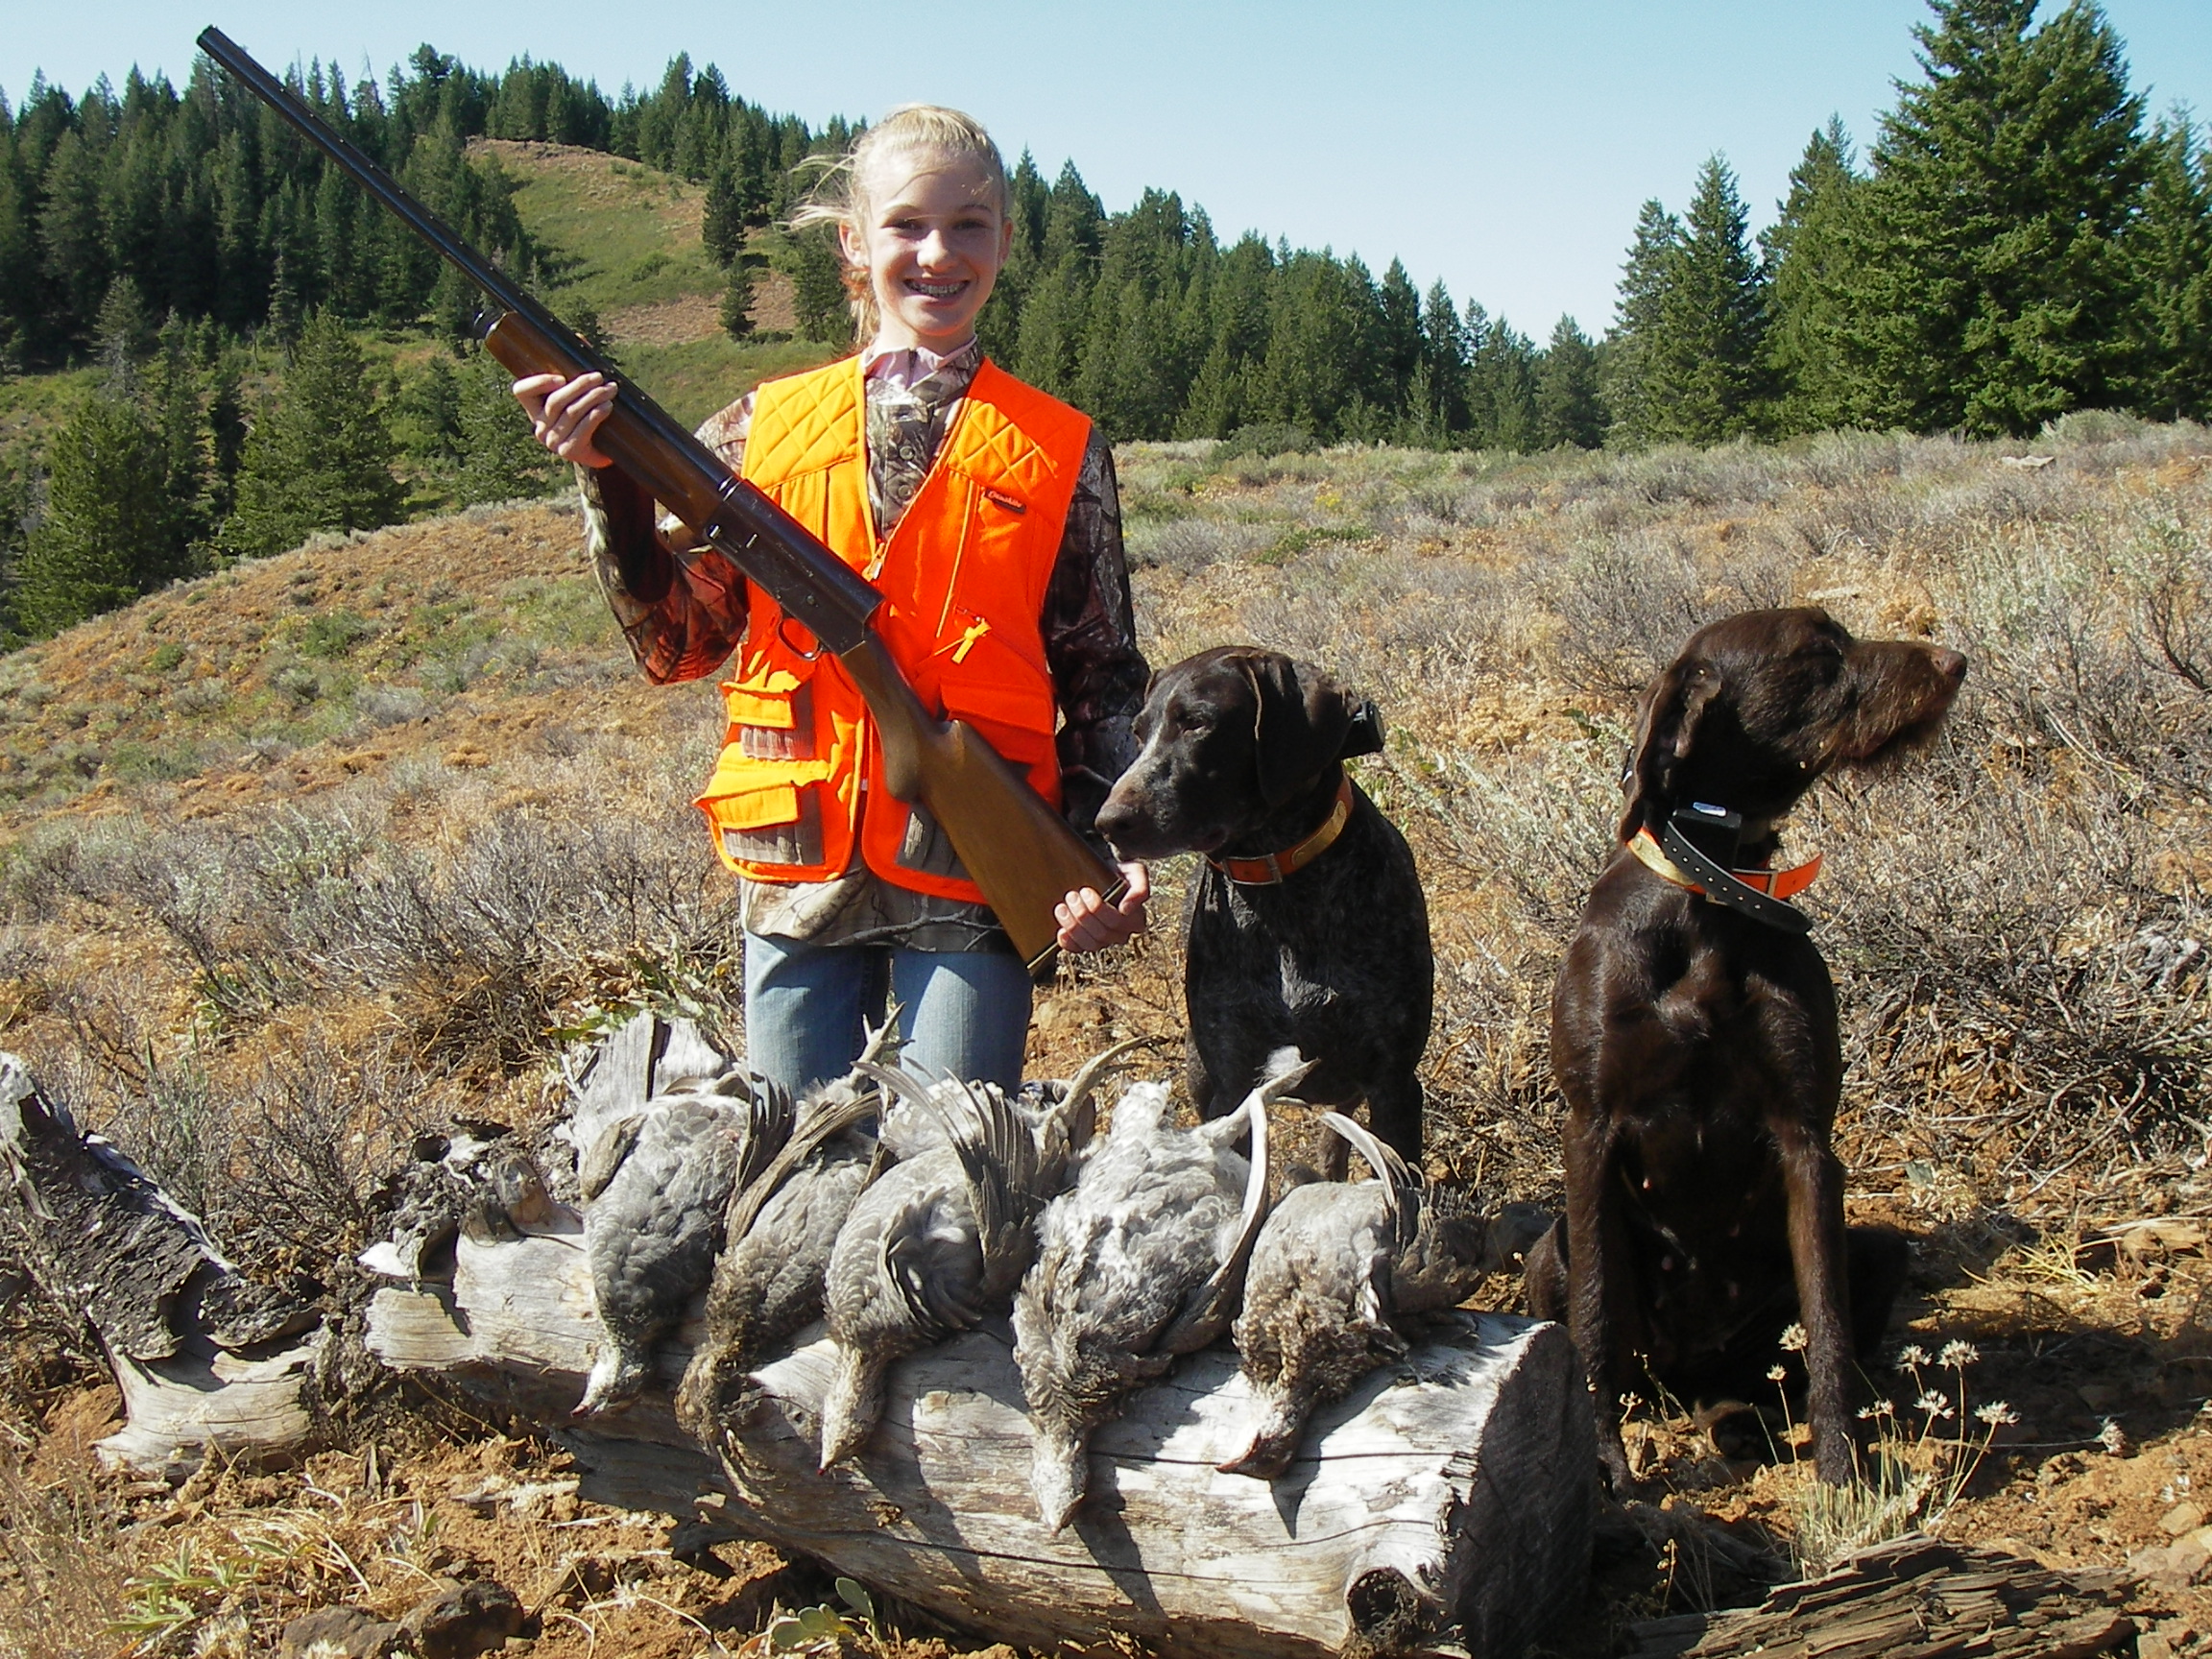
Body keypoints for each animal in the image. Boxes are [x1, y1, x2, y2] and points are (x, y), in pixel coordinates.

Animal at [1093, 641, 1432, 1159]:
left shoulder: (1394, 1084)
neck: (1279, 890)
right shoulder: (1231, 1089)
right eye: (1138, 732)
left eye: (1197, 722)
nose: (1109, 823)